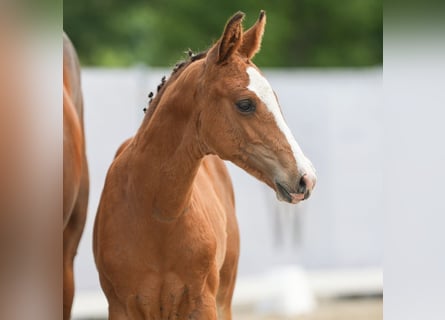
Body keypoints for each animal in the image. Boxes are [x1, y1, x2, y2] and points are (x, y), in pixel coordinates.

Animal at [93, 10, 316, 320]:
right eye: (245, 104)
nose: (306, 177)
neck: (157, 214)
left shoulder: (203, 302)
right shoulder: (121, 306)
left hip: (225, 293)